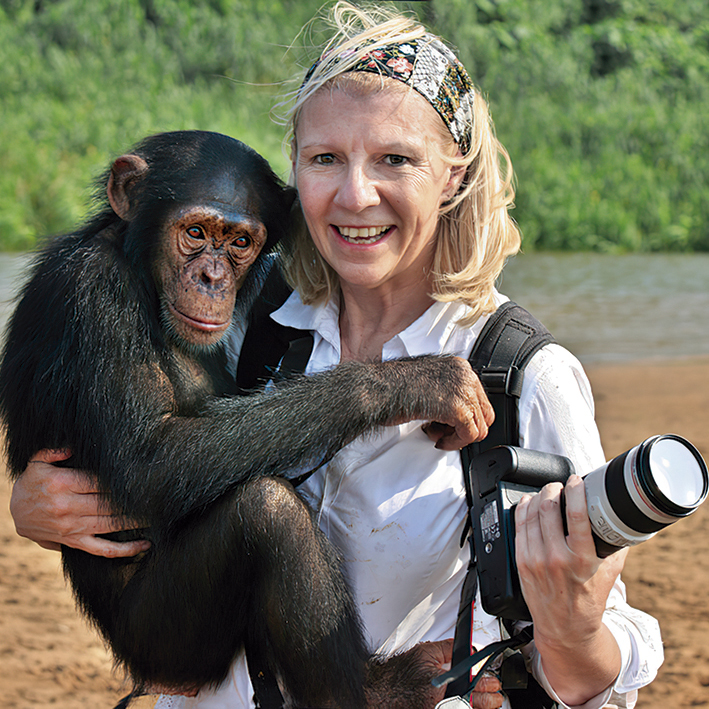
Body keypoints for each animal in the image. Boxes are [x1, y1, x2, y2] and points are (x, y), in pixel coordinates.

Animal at [0, 130, 486, 704]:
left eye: (239, 243)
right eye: (194, 232)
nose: (211, 277)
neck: (137, 269)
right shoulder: (94, 295)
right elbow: (151, 459)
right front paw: (410, 382)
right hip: (165, 642)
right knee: (267, 513)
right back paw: (380, 691)